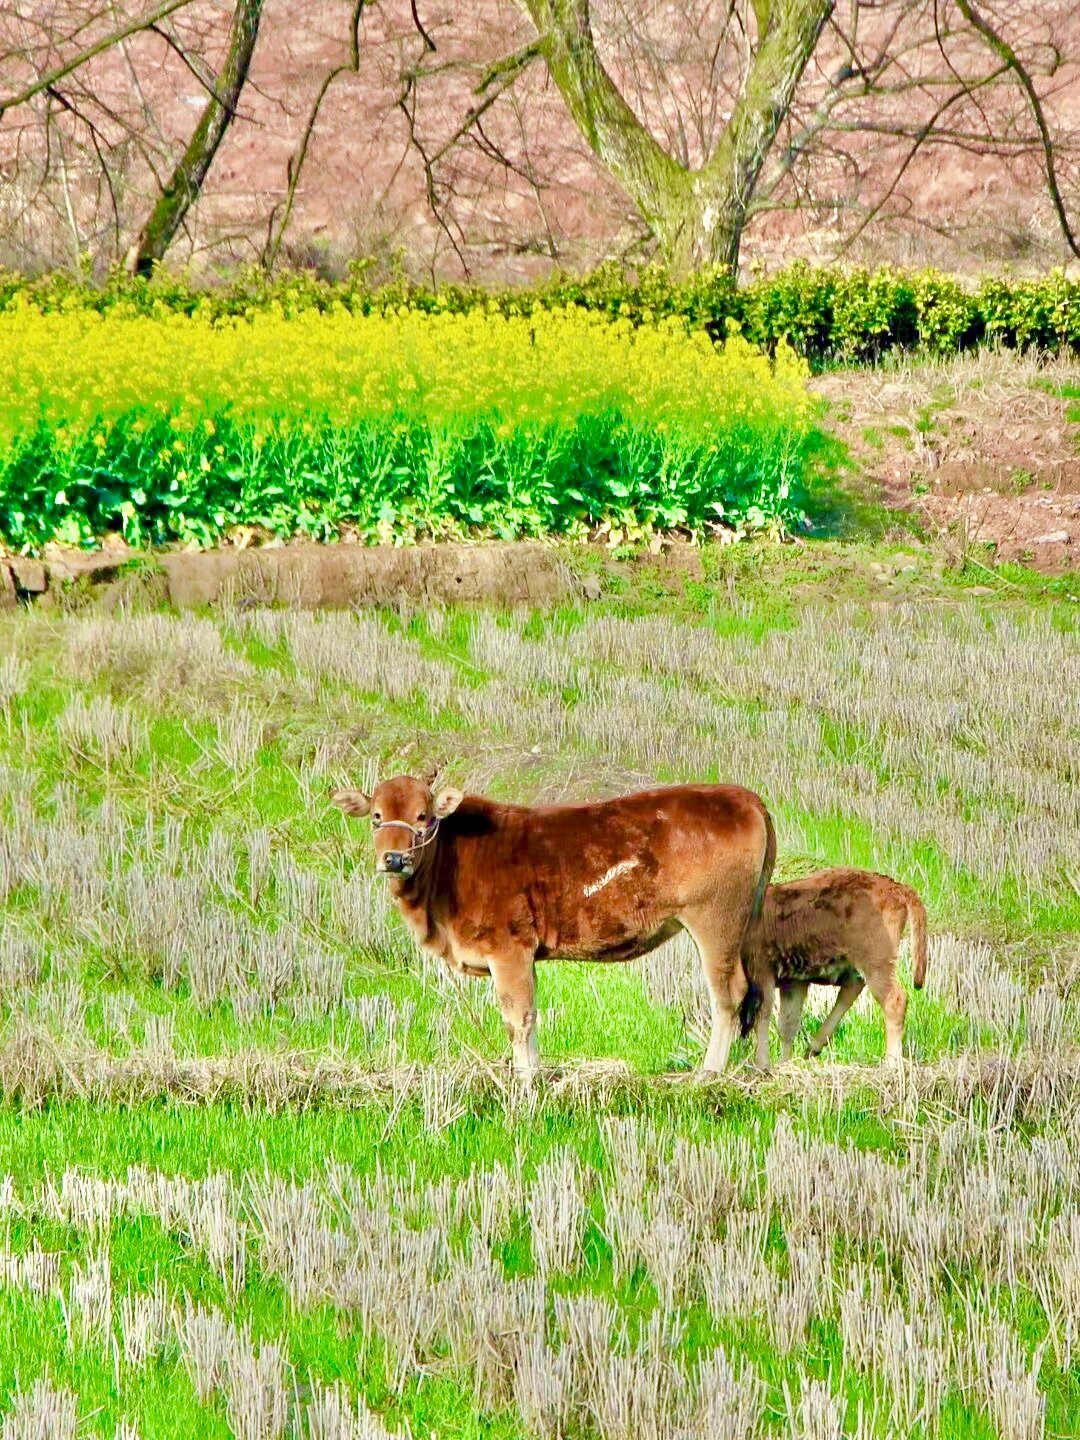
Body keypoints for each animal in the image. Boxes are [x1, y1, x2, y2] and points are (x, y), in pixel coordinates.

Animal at [332, 777, 777, 1082]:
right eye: (376, 816)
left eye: (423, 816)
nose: (394, 859)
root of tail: (743, 797)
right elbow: (528, 1016)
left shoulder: (509, 950)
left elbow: (518, 1017)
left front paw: (526, 1082)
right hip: (749, 922)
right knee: (763, 989)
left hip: (715, 920)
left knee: (729, 995)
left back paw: (708, 1075)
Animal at [743, 864, 933, 1071]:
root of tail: (896, 887)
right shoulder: (793, 981)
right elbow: (788, 1023)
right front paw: (784, 1064)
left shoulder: (762, 972)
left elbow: (763, 1015)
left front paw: (763, 1066)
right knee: (850, 992)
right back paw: (813, 1048)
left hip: (876, 960)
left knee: (893, 999)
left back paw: (891, 1063)